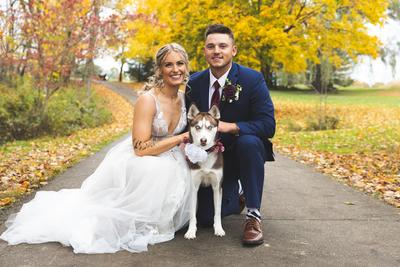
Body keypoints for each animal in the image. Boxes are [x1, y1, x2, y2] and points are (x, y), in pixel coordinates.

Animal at [184, 103, 225, 240]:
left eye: (209, 127)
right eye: (197, 127)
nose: (203, 140)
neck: (204, 153)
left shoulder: (217, 187)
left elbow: (217, 212)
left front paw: (219, 228)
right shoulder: (193, 186)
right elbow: (192, 213)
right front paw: (191, 231)